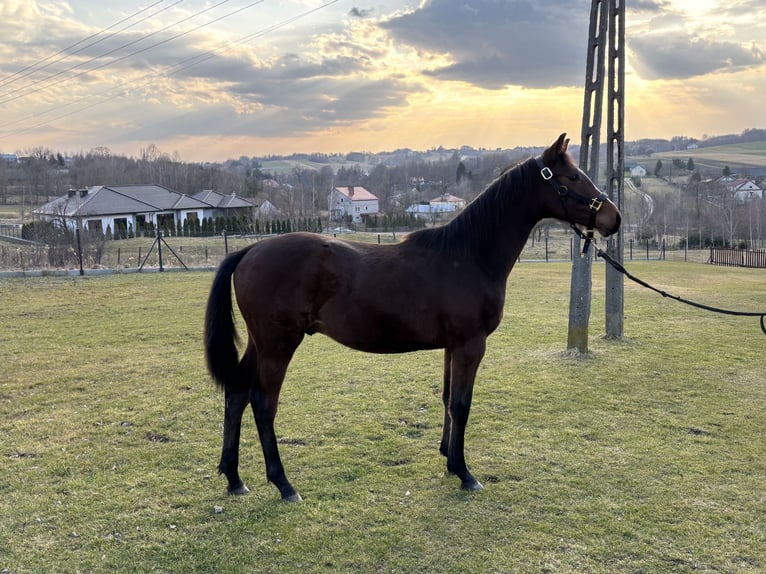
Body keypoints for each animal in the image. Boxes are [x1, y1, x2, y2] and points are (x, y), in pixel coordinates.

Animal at [204, 133, 621, 501]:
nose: (613, 218)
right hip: (278, 346)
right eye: (572, 178)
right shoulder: (471, 345)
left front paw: (448, 458)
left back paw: (235, 479)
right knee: (262, 404)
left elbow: (448, 398)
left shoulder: (453, 346)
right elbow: (462, 404)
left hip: (260, 344)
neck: (468, 255)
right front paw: (465, 473)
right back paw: (284, 484)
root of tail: (250, 251)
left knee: (236, 394)